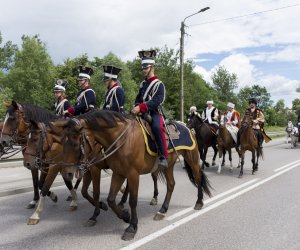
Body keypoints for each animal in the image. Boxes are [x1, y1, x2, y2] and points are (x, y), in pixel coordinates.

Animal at [52, 111, 213, 240]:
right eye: (62, 142)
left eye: (75, 143)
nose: (67, 173)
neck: (121, 139)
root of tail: (187, 127)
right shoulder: (118, 173)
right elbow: (110, 199)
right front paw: (125, 216)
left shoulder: (131, 174)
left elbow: (132, 200)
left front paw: (132, 227)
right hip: (169, 165)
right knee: (171, 184)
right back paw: (162, 210)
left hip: (192, 158)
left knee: (198, 178)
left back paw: (199, 202)